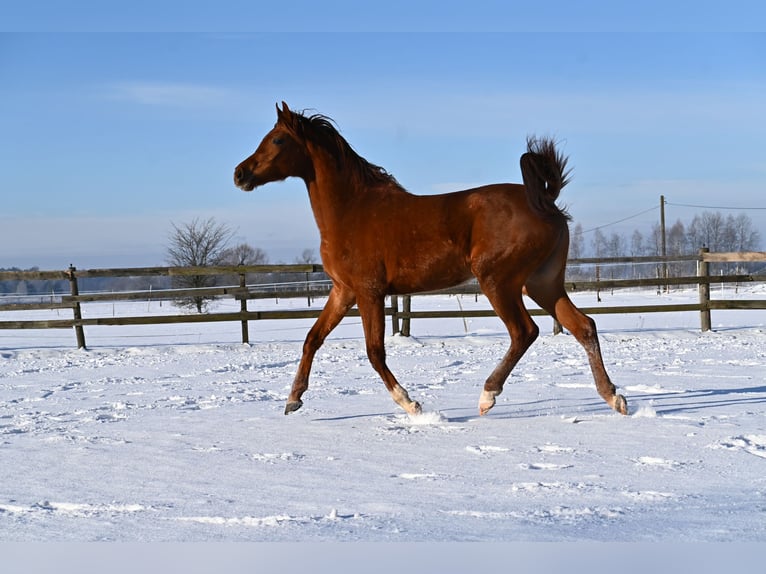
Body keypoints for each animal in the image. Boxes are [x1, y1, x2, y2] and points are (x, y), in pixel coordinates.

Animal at [236, 102, 632, 418]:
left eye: (277, 140)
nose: (240, 173)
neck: (351, 209)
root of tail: (545, 201)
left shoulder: (369, 292)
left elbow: (374, 351)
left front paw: (411, 404)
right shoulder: (343, 291)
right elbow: (312, 338)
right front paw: (293, 400)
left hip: (499, 282)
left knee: (525, 331)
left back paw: (487, 396)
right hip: (542, 283)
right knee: (583, 326)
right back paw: (614, 398)